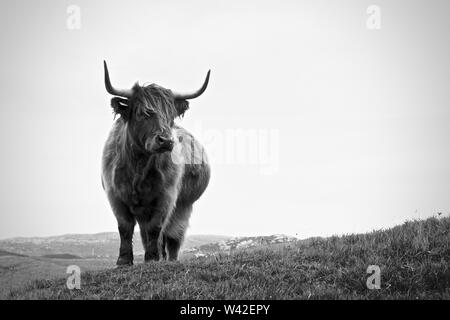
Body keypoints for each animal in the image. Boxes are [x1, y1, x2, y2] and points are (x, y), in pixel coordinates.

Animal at [101, 60, 210, 264]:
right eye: (143, 113)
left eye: (170, 116)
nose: (166, 141)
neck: (138, 166)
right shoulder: (115, 196)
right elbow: (125, 227)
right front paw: (123, 261)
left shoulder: (166, 197)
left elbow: (156, 228)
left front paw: (152, 259)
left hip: (184, 206)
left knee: (173, 236)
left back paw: (169, 259)